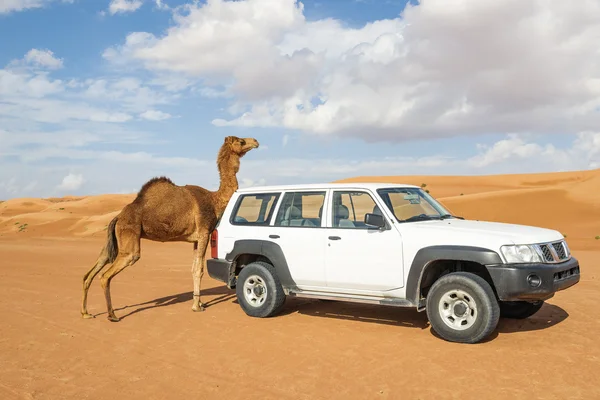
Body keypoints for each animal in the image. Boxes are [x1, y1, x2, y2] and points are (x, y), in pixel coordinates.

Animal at [81, 136, 258, 320]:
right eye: (241, 141)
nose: (256, 141)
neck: (214, 200)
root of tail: (118, 217)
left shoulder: (196, 239)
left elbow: (193, 268)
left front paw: (200, 302)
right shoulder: (204, 233)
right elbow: (199, 270)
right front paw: (196, 306)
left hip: (114, 239)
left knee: (94, 268)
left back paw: (86, 312)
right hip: (129, 237)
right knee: (106, 275)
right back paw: (112, 315)